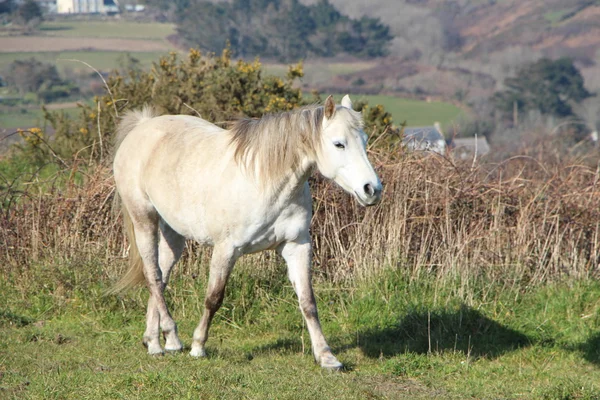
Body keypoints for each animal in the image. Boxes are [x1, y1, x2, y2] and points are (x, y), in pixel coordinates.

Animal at [112, 95, 382, 370]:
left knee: (162, 275)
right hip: (144, 219)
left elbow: (308, 302)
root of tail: (142, 127)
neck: (264, 182)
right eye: (339, 144)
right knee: (152, 275)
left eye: (364, 140)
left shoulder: (297, 246)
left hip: (174, 233)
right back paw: (170, 339)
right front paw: (198, 347)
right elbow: (213, 298)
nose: (372, 189)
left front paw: (327, 357)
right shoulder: (226, 249)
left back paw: (155, 341)